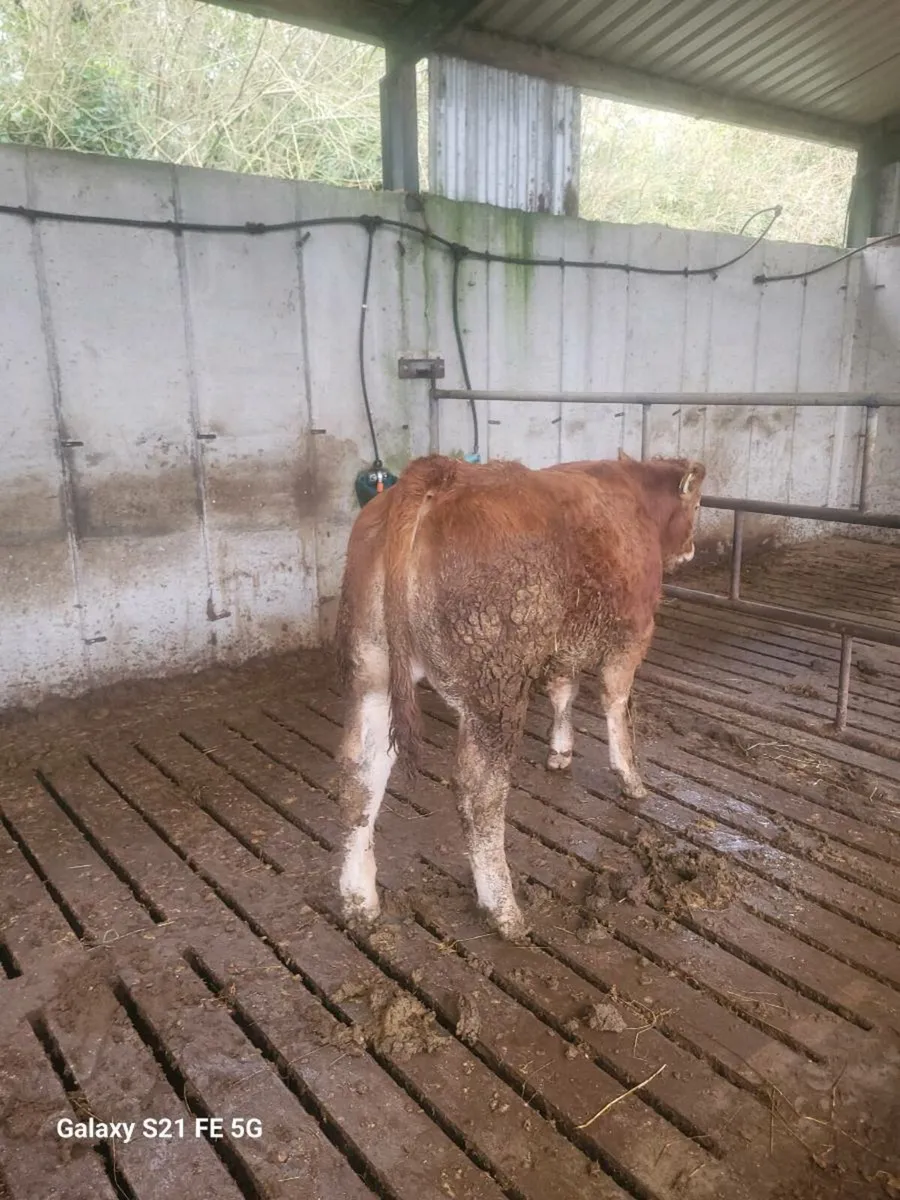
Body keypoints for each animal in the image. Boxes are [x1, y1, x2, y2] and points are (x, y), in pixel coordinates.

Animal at [334, 451, 705, 940]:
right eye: (697, 505)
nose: (691, 549)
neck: (636, 498)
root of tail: (442, 474)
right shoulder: (632, 634)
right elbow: (615, 702)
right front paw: (630, 777)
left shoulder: (563, 645)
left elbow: (563, 689)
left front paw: (560, 752)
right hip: (495, 688)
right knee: (479, 793)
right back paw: (503, 910)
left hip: (372, 670)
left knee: (361, 774)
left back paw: (358, 899)